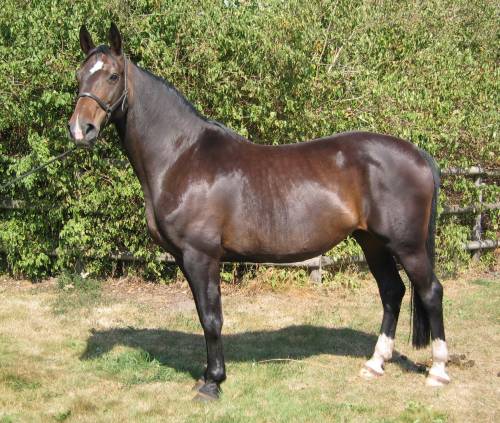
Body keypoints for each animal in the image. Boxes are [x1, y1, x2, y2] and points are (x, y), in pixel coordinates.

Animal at [68, 23, 450, 400]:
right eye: (79, 75)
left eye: (113, 76)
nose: (80, 129)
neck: (182, 156)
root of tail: (417, 154)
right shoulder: (185, 258)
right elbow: (203, 314)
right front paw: (208, 375)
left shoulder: (201, 256)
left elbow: (211, 318)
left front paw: (213, 382)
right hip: (371, 242)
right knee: (392, 292)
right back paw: (375, 364)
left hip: (407, 246)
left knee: (430, 291)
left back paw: (438, 371)